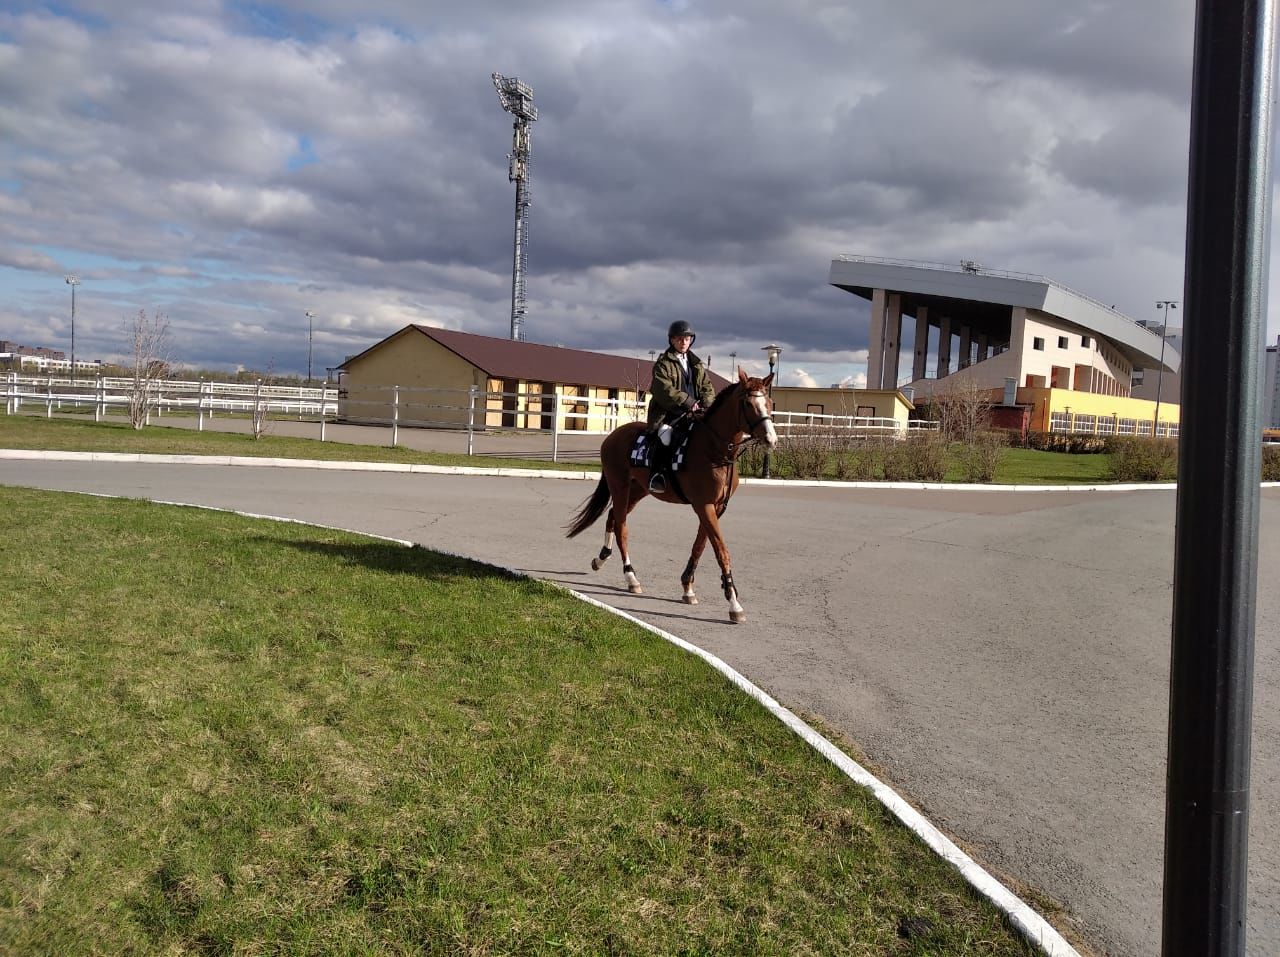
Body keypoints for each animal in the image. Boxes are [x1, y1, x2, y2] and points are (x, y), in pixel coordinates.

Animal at [565, 363, 773, 621]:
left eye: (769, 402)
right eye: (748, 403)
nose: (771, 438)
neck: (713, 450)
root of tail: (613, 436)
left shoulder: (716, 507)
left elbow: (700, 546)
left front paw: (688, 587)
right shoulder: (703, 505)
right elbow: (721, 550)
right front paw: (734, 603)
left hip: (638, 490)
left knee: (613, 516)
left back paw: (601, 558)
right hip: (619, 486)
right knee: (622, 526)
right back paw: (631, 576)